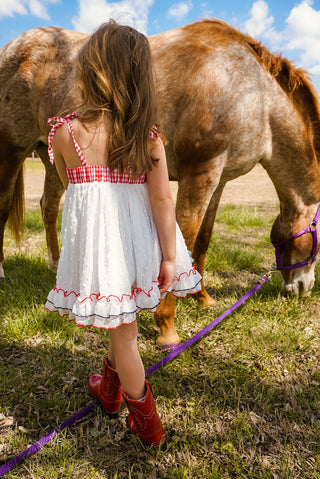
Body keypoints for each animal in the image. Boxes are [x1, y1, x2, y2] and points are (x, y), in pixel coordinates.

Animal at [0, 20, 320, 346]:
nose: (304, 288)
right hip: (12, 150)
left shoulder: (219, 179)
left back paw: (55, 265)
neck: (252, 92)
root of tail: (15, 45)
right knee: (4, 204)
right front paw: (167, 326)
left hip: (52, 158)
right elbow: (184, 236)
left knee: (49, 206)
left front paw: (202, 297)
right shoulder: (201, 172)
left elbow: (203, 239)